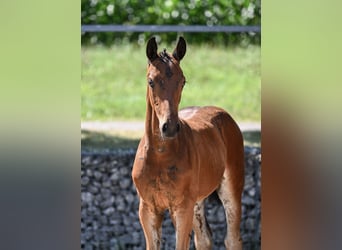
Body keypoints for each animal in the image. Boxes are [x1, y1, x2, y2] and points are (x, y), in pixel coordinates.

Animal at [132, 36, 246, 249]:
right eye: (151, 81)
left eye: (183, 81)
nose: (169, 127)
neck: (159, 156)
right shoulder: (148, 209)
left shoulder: (182, 207)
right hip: (196, 203)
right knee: (203, 239)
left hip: (230, 188)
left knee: (233, 239)